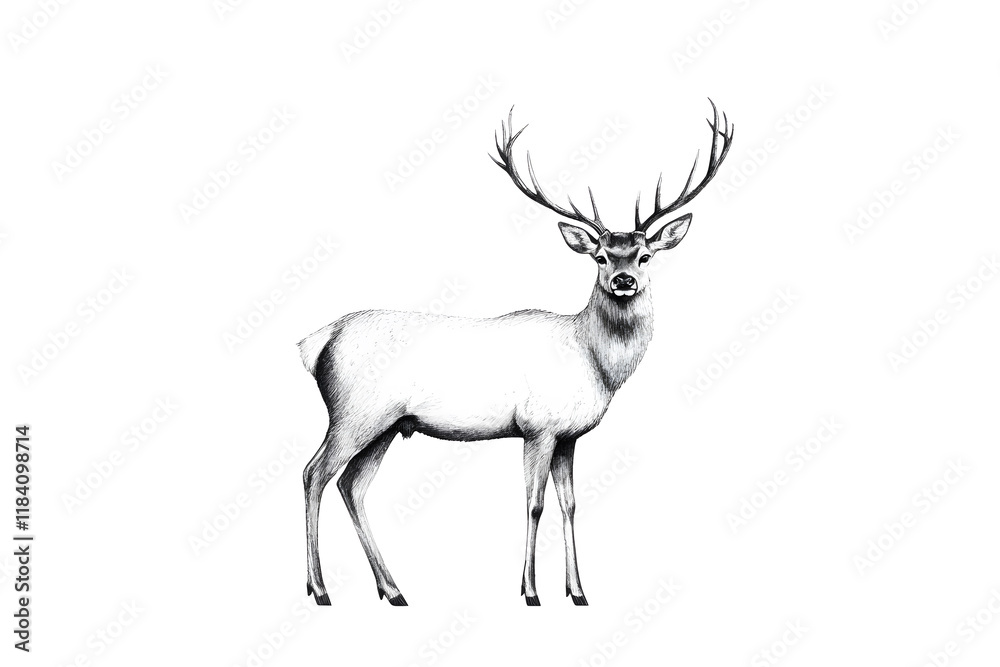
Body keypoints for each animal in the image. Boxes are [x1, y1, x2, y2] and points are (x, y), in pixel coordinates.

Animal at [298, 100, 733, 606]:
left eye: (645, 255)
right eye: (601, 256)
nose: (624, 280)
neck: (594, 363)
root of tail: (317, 341)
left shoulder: (568, 435)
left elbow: (570, 503)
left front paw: (578, 591)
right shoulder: (537, 426)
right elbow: (534, 504)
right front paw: (529, 591)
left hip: (387, 424)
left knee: (352, 485)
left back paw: (392, 589)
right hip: (354, 412)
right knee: (315, 473)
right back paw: (320, 588)